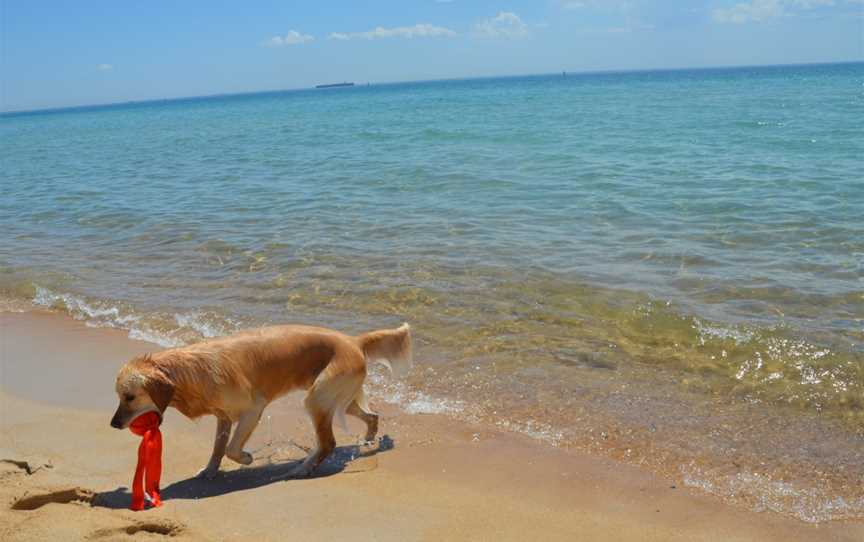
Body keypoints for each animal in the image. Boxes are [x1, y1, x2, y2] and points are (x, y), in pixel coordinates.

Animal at [110, 324, 412, 480]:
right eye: (119, 396)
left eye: (130, 397)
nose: (113, 424)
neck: (187, 372)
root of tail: (354, 340)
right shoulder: (223, 416)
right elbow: (218, 448)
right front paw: (209, 471)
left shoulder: (254, 408)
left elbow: (231, 448)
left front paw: (246, 458)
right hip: (337, 399)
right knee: (371, 415)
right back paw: (368, 439)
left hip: (317, 397)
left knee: (328, 443)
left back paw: (300, 469)